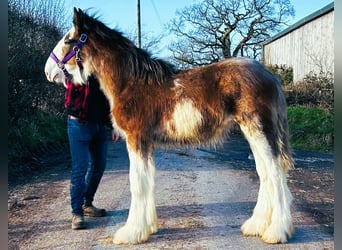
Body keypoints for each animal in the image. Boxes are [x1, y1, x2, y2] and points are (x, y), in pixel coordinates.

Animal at [43, 8, 294, 246]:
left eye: (68, 40)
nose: (48, 71)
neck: (131, 83)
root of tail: (270, 76)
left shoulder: (136, 139)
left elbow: (137, 183)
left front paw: (131, 233)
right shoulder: (146, 143)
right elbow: (147, 180)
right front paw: (147, 227)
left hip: (259, 130)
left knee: (275, 174)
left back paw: (277, 231)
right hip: (253, 133)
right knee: (264, 173)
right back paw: (256, 225)